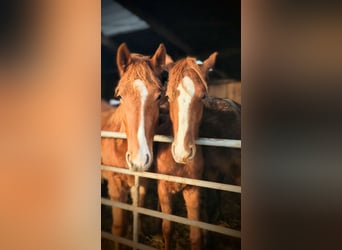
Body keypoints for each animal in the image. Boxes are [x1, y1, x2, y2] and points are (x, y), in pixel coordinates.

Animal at [101, 43, 166, 248]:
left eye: (159, 95)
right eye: (119, 95)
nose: (139, 159)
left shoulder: (141, 183)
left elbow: (137, 217)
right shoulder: (115, 184)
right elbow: (119, 227)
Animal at [155, 51, 216, 249]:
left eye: (203, 96)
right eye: (168, 96)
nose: (182, 153)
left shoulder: (193, 191)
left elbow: (196, 235)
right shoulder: (163, 188)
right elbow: (168, 228)